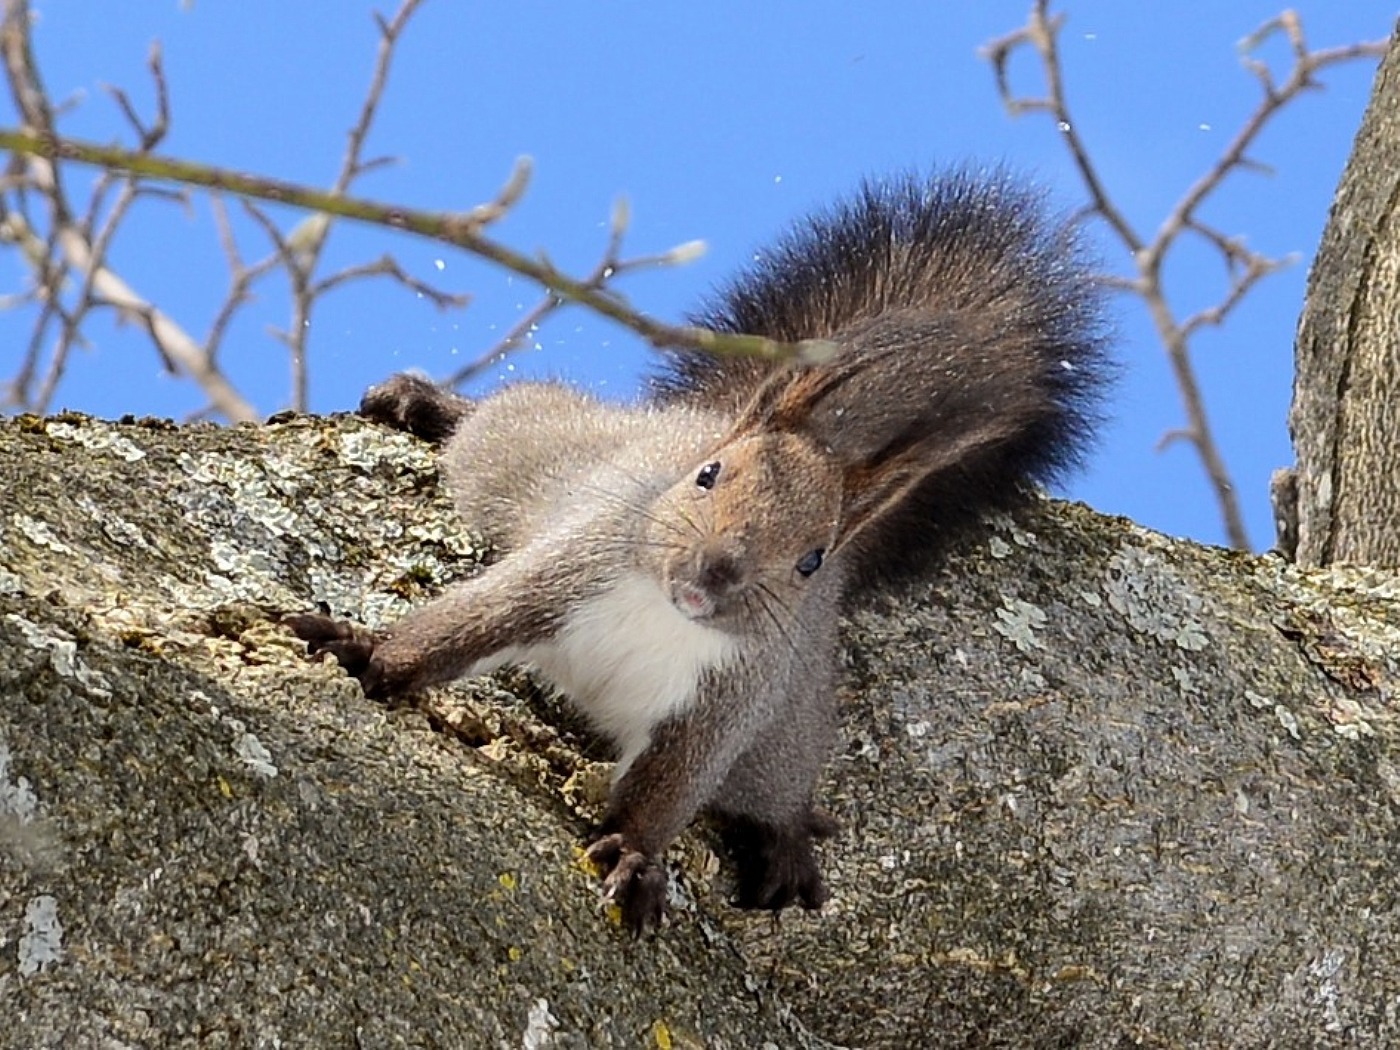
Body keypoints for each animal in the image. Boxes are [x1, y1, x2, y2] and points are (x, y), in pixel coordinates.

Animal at [289, 172, 1108, 935]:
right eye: (707, 475)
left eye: (811, 559)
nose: (716, 570)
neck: (664, 612)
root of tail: (708, 414)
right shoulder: (566, 567)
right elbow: (463, 625)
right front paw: (365, 650)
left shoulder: (732, 697)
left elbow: (671, 785)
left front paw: (634, 855)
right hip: (529, 455)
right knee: (499, 423)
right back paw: (428, 403)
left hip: (785, 731)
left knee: (770, 790)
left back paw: (785, 843)